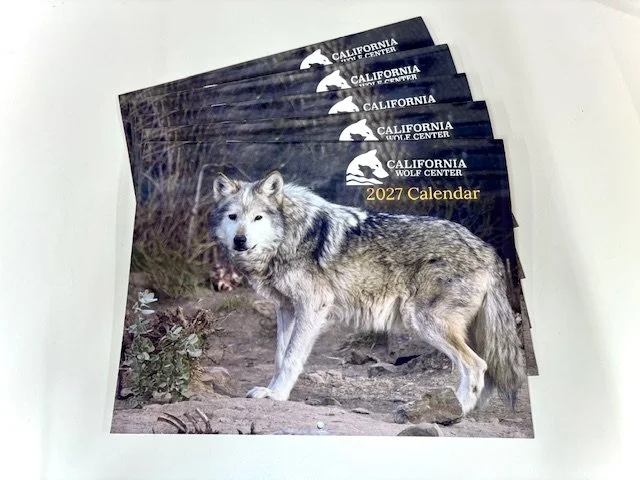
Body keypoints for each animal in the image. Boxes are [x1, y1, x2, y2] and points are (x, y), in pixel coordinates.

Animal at [210, 172, 526, 414]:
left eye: (258, 218)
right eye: (233, 217)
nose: (240, 240)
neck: (291, 236)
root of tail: (489, 251)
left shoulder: (313, 306)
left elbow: (291, 358)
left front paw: (277, 396)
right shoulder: (286, 308)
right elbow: (279, 356)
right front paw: (273, 389)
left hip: (424, 323)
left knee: (476, 366)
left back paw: (458, 409)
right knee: (487, 370)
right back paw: (472, 409)